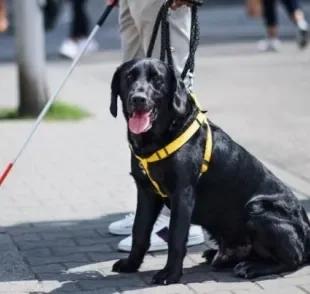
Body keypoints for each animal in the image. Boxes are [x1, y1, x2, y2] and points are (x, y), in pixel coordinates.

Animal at [107, 56, 310, 284]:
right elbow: (139, 230)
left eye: (156, 79)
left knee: (293, 260)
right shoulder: (146, 192)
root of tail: (308, 237)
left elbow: (176, 236)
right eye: (129, 77)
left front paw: (170, 273)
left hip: (257, 208)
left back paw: (251, 267)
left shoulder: (183, 194)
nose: (138, 99)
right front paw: (131, 264)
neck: (158, 138)